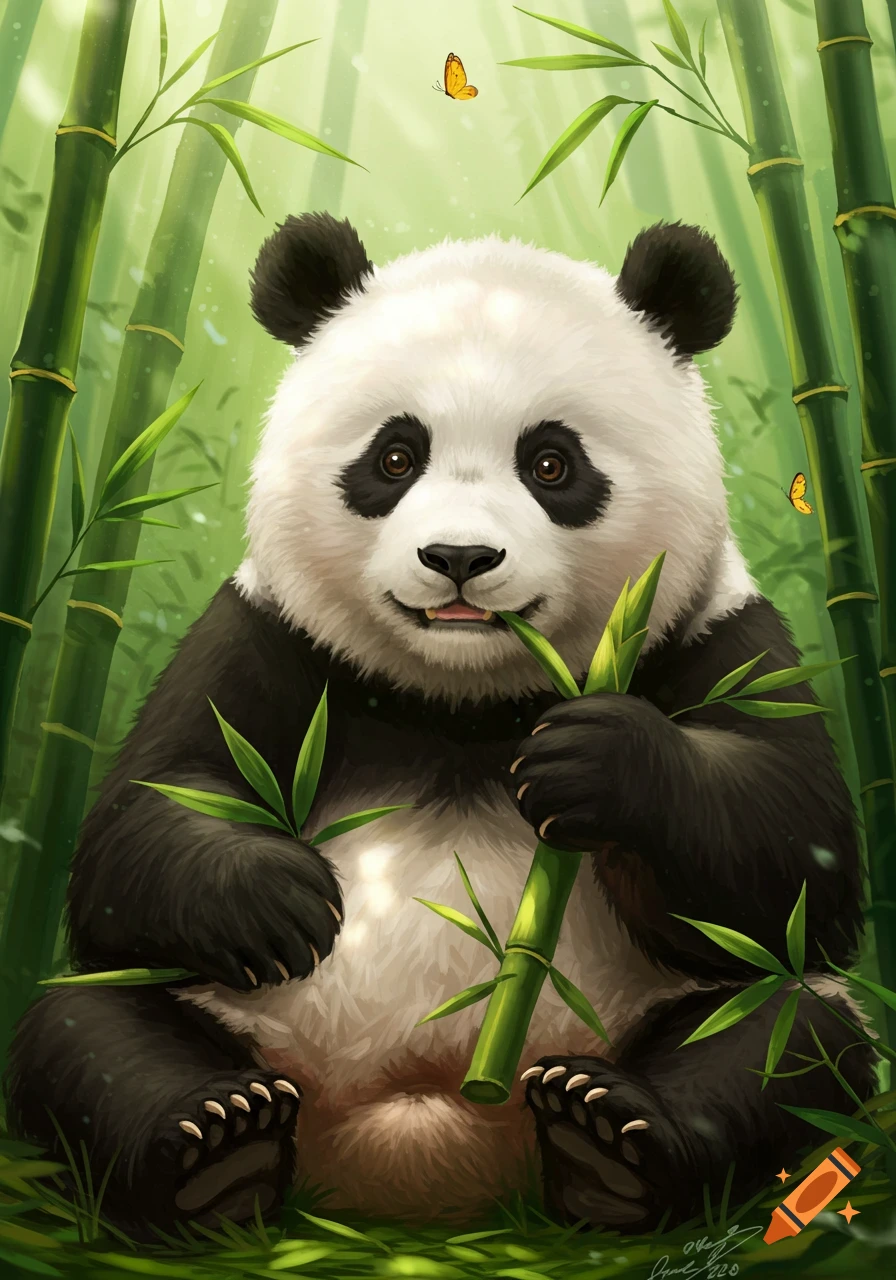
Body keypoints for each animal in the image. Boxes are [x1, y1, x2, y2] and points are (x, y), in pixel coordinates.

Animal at [7, 213, 874, 1238]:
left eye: (551, 462)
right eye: (394, 457)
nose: (459, 556)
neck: (466, 703)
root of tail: (410, 1152)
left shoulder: (714, 628)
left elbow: (797, 861)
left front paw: (596, 761)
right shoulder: (266, 633)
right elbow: (140, 827)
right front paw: (281, 897)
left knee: (790, 1026)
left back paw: (610, 1140)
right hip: (229, 1019)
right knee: (85, 1024)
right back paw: (216, 1147)